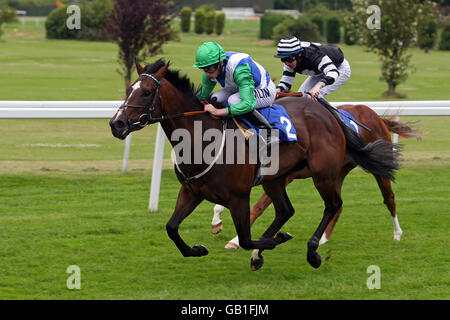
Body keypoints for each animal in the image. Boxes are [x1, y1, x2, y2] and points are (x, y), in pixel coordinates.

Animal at [110, 58, 400, 268]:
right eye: (128, 89)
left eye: (147, 92)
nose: (117, 124)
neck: (203, 139)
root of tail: (329, 113)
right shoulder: (192, 191)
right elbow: (171, 228)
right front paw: (197, 249)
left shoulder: (239, 197)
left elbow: (247, 238)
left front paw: (271, 241)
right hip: (276, 179)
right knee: (286, 210)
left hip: (324, 174)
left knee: (334, 205)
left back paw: (313, 251)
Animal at [212, 105, 422, 258]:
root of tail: (377, 116)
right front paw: (217, 222)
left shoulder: (282, 177)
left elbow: (258, 206)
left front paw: (235, 241)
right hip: (336, 173)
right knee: (337, 205)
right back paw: (323, 239)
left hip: (375, 168)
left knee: (389, 198)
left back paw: (397, 233)